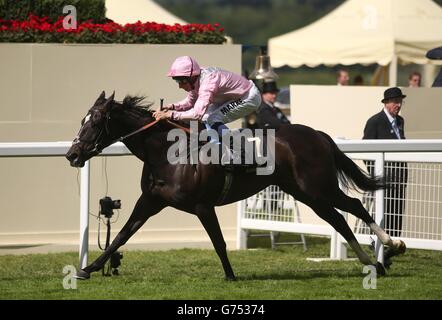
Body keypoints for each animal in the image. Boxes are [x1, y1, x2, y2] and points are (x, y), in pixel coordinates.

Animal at [64, 90, 406, 280]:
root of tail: (318, 134)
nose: (72, 154)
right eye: (82, 120)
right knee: (338, 218)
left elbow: (218, 242)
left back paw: (390, 247)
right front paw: (88, 269)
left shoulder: (203, 205)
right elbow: (121, 236)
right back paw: (373, 262)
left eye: (95, 121)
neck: (168, 152)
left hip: (317, 188)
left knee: (352, 207)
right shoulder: (150, 201)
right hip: (304, 193)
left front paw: (230, 275)